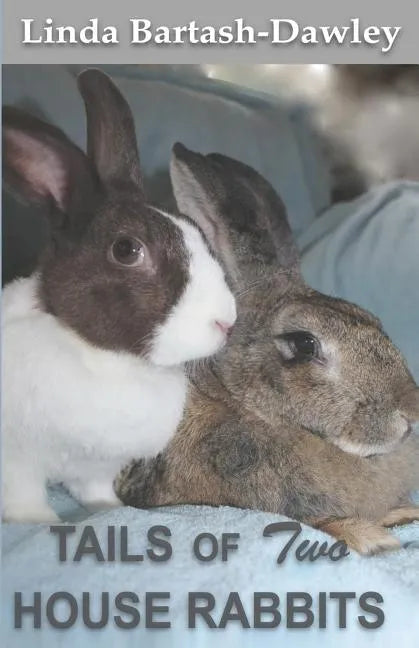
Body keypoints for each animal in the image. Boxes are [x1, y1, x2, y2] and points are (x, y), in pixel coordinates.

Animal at [2, 70, 236, 523]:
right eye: (127, 250)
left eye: (195, 231)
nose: (226, 322)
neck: (107, 360)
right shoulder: (16, 464)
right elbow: (24, 499)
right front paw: (40, 523)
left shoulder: (95, 467)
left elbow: (94, 493)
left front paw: (108, 509)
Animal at [116, 144, 419, 555]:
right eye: (304, 343)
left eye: (372, 319)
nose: (411, 414)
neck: (241, 403)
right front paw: (371, 538)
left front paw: (402, 514)